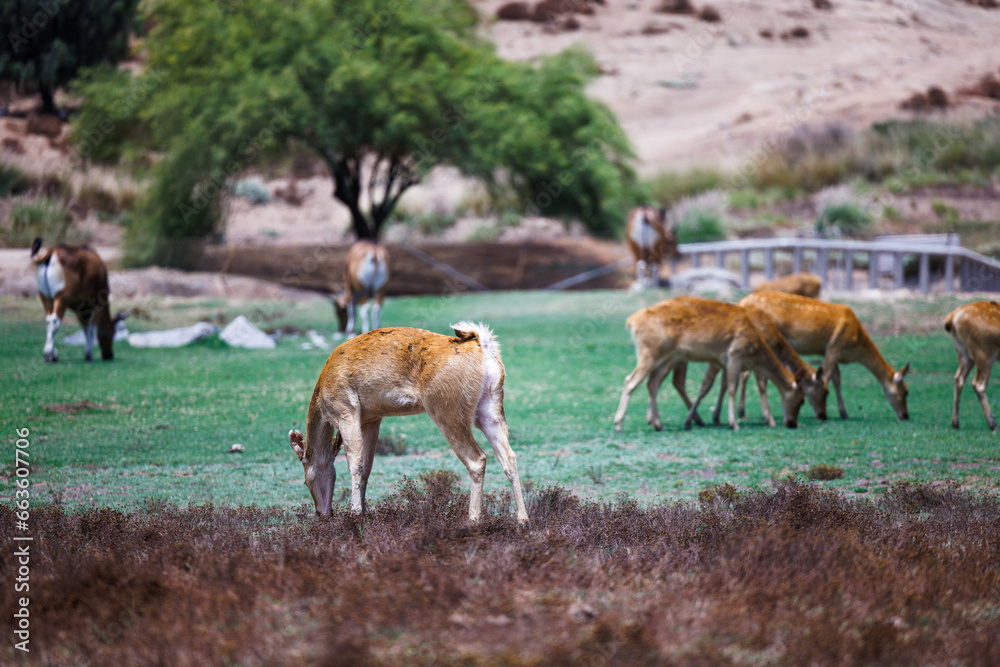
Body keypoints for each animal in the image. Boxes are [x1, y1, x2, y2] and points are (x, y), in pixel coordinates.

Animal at [289, 322, 530, 526]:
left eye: (304, 480)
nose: (322, 513)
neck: (323, 400)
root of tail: (486, 347)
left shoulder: (346, 409)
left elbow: (355, 464)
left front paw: (355, 515)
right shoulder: (372, 418)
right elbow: (367, 466)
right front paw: (365, 513)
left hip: (446, 408)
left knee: (477, 458)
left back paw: (472, 521)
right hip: (491, 408)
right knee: (509, 457)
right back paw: (523, 520)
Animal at [613, 296, 806, 432]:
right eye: (802, 399)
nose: (793, 423)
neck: (755, 351)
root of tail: (632, 321)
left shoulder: (723, 361)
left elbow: (722, 385)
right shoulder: (735, 353)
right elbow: (732, 387)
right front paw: (734, 424)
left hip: (664, 358)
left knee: (652, 383)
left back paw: (658, 424)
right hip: (651, 353)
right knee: (630, 381)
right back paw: (618, 423)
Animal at [739, 291, 910, 421]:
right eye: (906, 391)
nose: (905, 415)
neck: (856, 348)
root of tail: (742, 301)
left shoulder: (827, 351)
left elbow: (836, 377)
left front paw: (844, 413)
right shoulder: (835, 347)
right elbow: (829, 377)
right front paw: (835, 412)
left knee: (746, 373)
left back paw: (743, 412)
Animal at [944, 300, 1000, 431]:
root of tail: (953, 318)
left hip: (963, 351)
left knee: (958, 378)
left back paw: (955, 423)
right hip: (985, 351)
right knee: (978, 384)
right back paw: (993, 424)